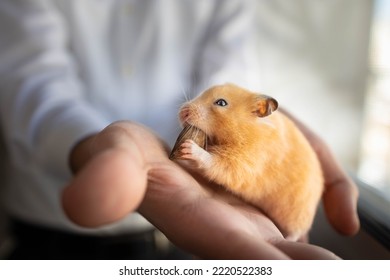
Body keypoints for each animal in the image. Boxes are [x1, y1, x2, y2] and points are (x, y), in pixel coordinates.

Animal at [173, 83, 322, 241]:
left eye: (221, 103)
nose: (183, 111)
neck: (246, 129)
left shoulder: (245, 161)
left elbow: (216, 162)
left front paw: (188, 147)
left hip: (298, 214)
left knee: (296, 232)